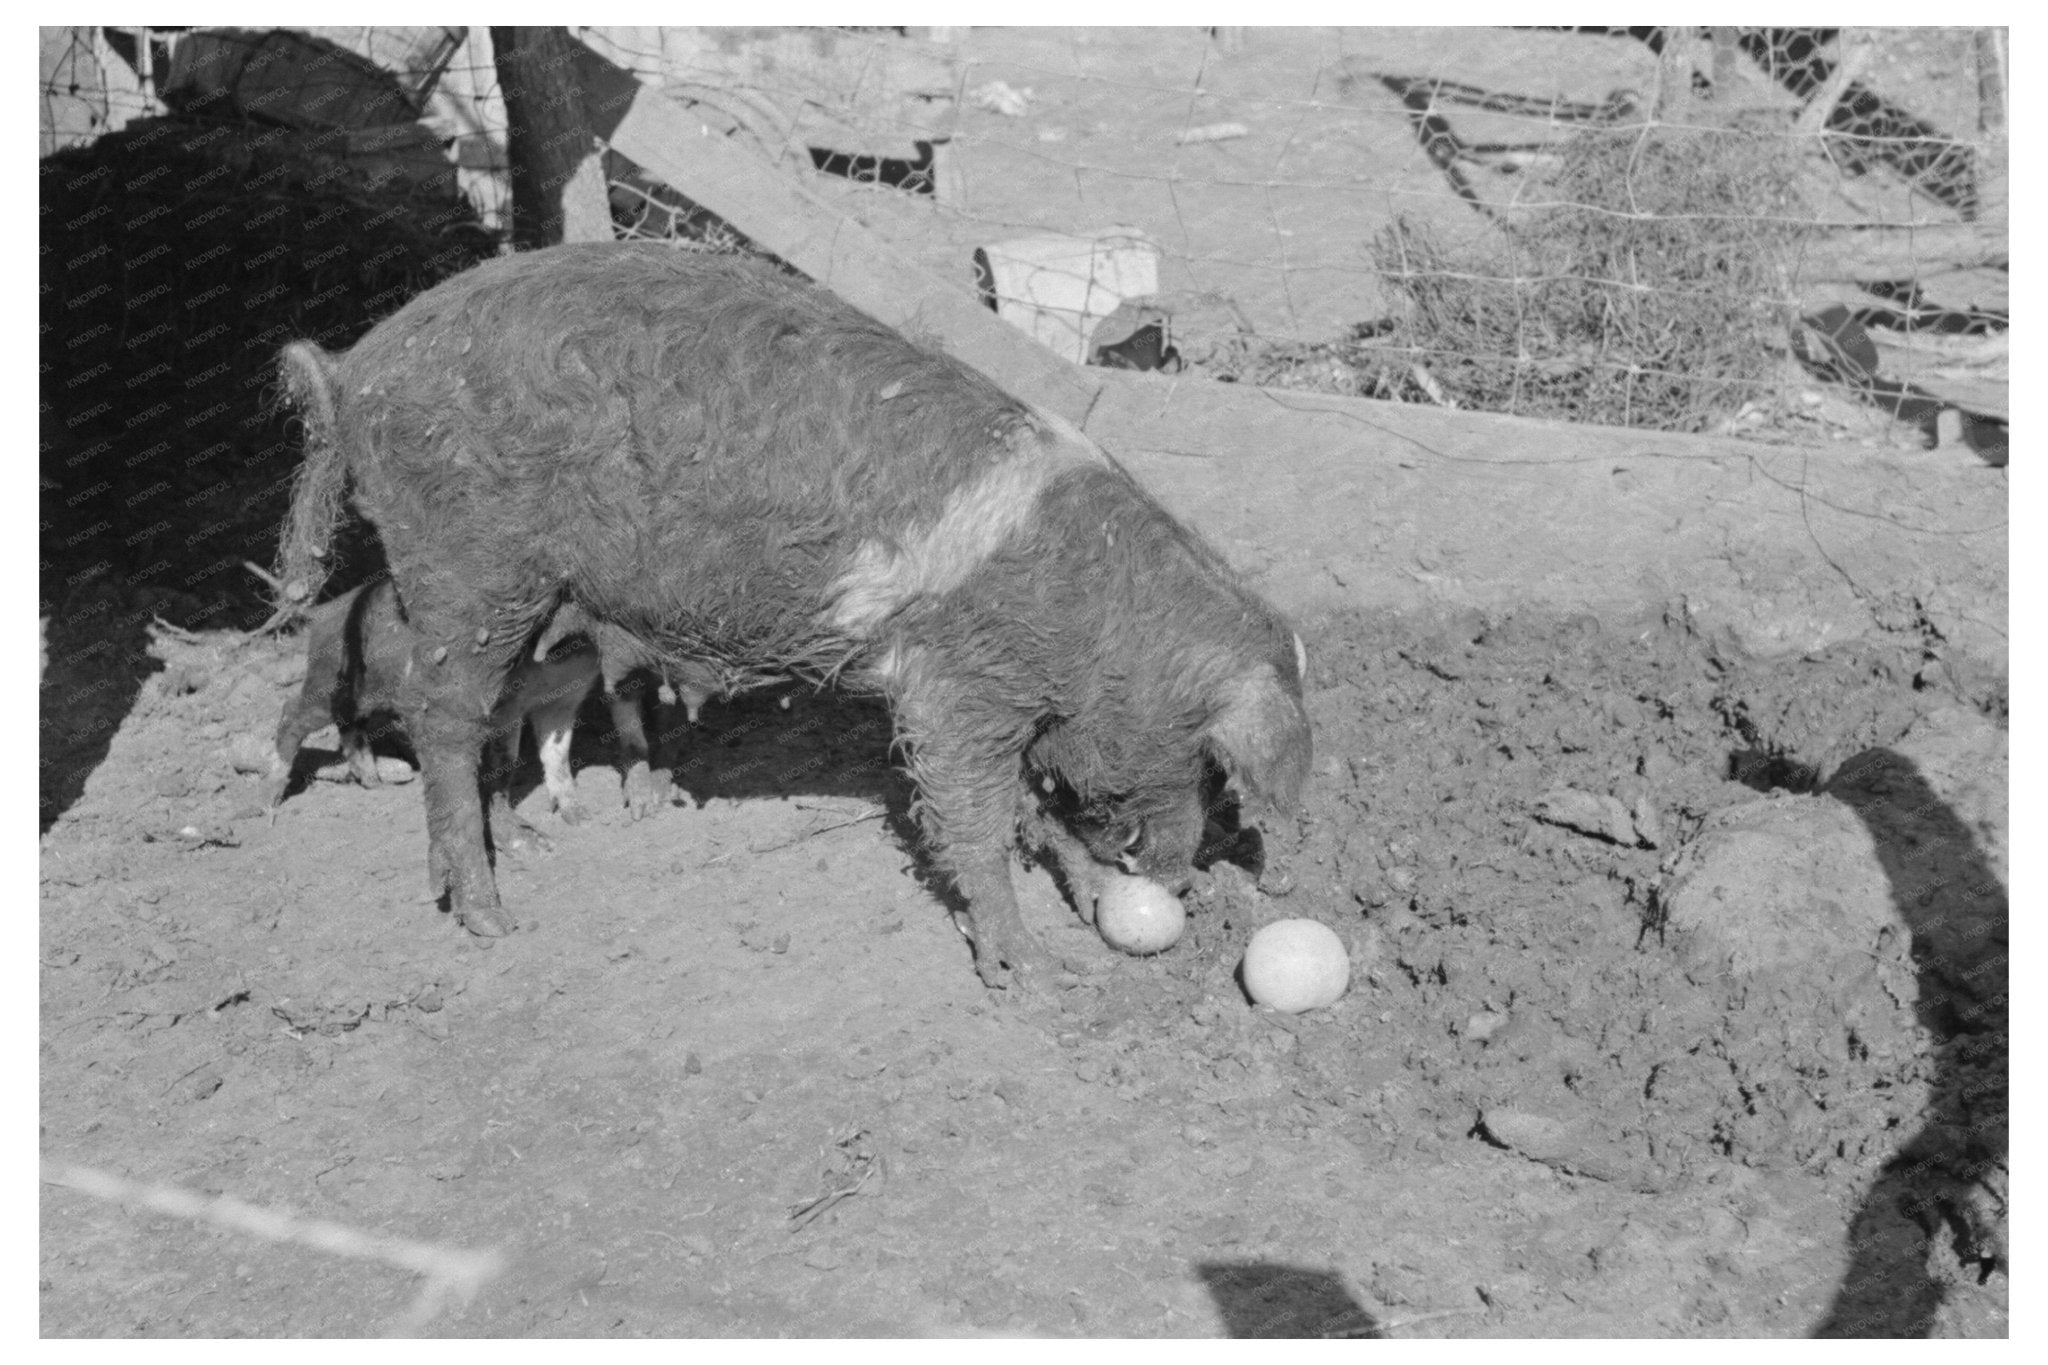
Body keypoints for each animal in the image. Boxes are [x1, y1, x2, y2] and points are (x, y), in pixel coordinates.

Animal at [276, 245, 1310, 986]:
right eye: (1205, 755)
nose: (1181, 876)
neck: (1091, 613)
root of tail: (352, 368)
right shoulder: (956, 689)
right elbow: (972, 817)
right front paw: (1035, 971)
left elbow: (1034, 812)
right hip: (468, 566)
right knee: (442, 720)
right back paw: (493, 915)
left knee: (483, 719)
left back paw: (524, 843)